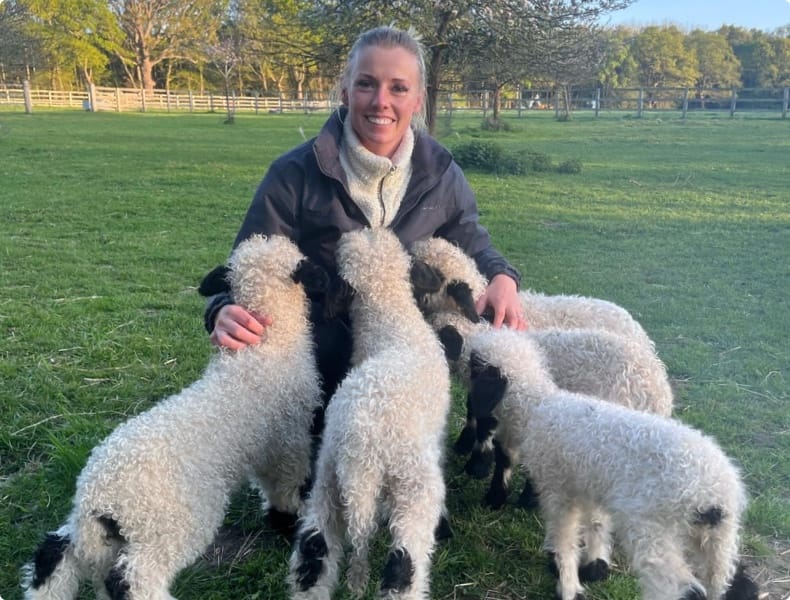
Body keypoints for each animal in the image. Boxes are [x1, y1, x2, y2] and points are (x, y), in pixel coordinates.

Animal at [22, 234, 325, 600]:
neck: (264, 349)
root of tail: (99, 499)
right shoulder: (289, 439)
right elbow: (284, 486)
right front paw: (288, 518)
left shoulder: (271, 445)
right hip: (169, 526)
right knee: (132, 578)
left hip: (96, 536)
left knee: (54, 553)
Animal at [289, 228, 451, 600]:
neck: (392, 325)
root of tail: (361, 452)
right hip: (414, 488)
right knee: (402, 568)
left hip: (328, 482)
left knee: (313, 556)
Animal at [466, 327, 759, 600]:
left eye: (474, 363)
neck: (537, 406)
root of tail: (718, 494)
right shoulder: (587, 487)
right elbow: (594, 523)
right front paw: (592, 565)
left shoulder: (558, 490)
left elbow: (565, 539)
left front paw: (568, 586)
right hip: (717, 538)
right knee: (732, 582)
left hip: (653, 530)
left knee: (679, 587)